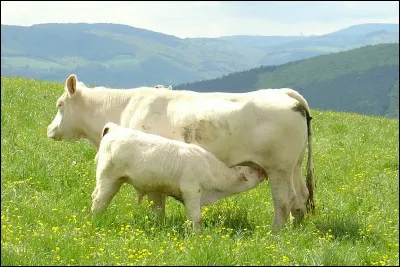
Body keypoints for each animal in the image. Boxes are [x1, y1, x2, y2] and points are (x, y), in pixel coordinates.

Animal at [91, 123, 266, 232]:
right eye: (252, 171)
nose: (264, 171)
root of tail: (114, 129)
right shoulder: (191, 190)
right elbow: (196, 217)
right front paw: (198, 235)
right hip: (108, 179)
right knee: (99, 200)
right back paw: (96, 220)